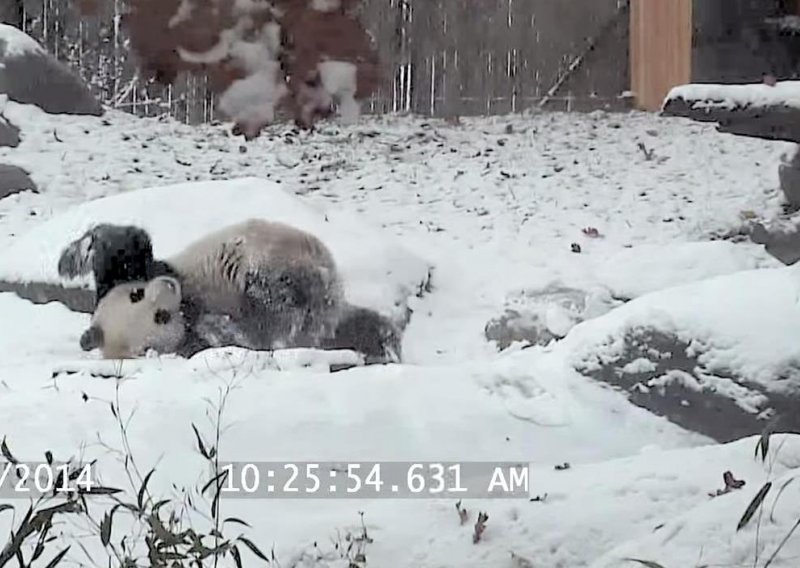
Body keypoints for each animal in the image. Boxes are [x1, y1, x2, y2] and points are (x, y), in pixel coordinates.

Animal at [57, 217, 404, 364]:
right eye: (161, 316)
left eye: (136, 295)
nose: (167, 288)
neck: (187, 303)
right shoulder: (190, 341)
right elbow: (230, 337)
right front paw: (216, 326)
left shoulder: (139, 271)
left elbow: (122, 246)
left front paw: (77, 254)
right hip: (299, 303)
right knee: (286, 318)